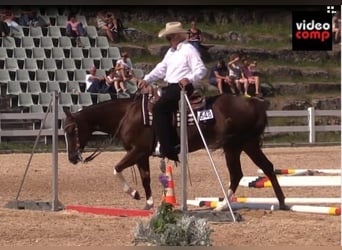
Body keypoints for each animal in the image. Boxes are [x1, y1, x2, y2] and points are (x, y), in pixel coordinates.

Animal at [63, 94, 286, 211]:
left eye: (72, 130)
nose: (72, 157)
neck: (128, 115)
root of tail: (252, 102)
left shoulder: (138, 151)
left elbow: (116, 168)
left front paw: (134, 194)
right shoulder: (141, 155)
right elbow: (145, 178)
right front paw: (148, 203)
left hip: (235, 146)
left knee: (238, 174)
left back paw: (222, 206)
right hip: (245, 145)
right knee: (265, 168)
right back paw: (281, 202)